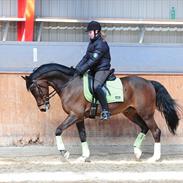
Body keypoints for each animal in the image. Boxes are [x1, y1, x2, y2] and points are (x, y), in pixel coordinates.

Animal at [21, 63, 180, 162]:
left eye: (35, 89)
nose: (43, 108)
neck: (69, 84)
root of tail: (148, 82)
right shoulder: (79, 117)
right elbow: (83, 135)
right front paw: (84, 157)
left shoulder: (74, 115)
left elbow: (58, 130)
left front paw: (64, 153)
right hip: (130, 112)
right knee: (144, 127)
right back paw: (137, 152)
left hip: (146, 114)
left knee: (156, 131)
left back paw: (154, 158)